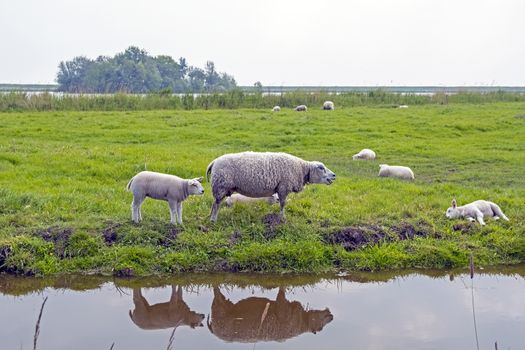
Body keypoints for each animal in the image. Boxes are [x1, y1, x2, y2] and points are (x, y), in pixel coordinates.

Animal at [206, 150, 336, 221]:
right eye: (321, 168)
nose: (334, 175)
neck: (301, 169)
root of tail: (214, 162)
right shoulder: (283, 187)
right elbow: (283, 204)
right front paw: (282, 218)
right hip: (220, 186)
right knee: (216, 204)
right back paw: (213, 219)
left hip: (219, 188)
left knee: (214, 203)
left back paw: (210, 217)